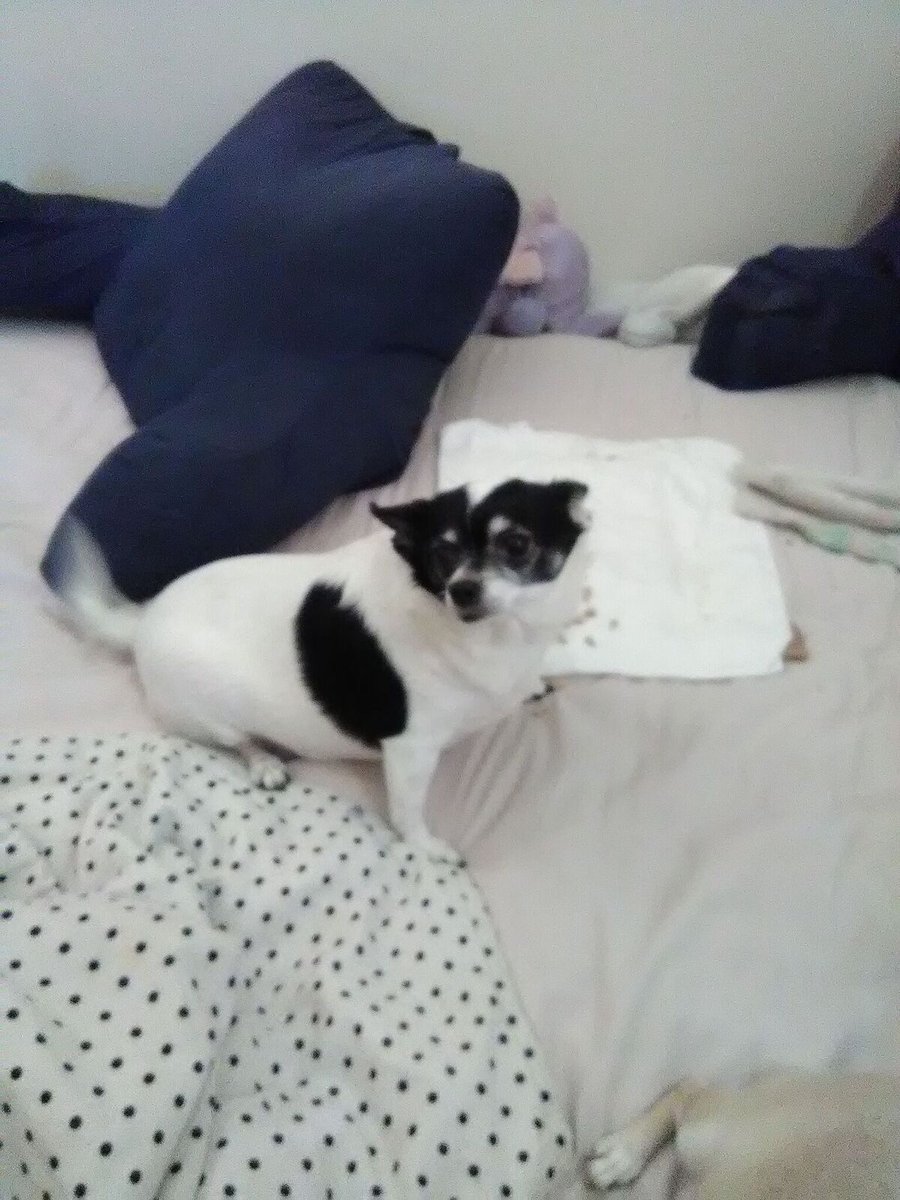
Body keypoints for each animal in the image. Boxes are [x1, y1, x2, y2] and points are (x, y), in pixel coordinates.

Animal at [52, 478, 591, 863]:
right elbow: (408, 810)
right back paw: (265, 763)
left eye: (516, 544)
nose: (462, 590)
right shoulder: (410, 749)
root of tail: (141, 622)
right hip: (210, 710)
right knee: (238, 741)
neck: (499, 634)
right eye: (443, 553)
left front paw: (532, 684)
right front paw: (427, 848)